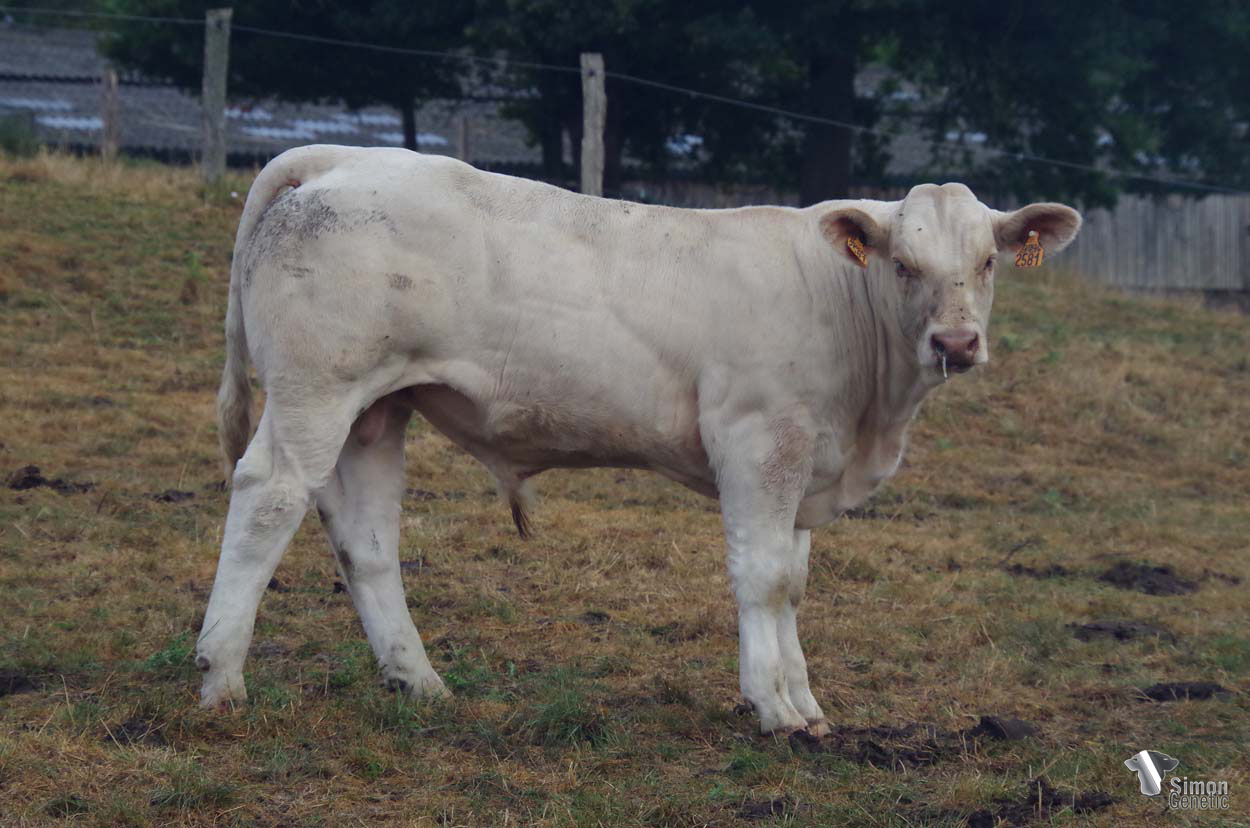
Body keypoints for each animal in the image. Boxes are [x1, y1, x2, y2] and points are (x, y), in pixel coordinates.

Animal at [195, 144, 1081, 736]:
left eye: (989, 262)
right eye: (903, 263)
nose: (956, 343)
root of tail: (341, 157)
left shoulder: (805, 464)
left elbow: (792, 584)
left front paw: (805, 702)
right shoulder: (758, 441)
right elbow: (761, 579)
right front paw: (773, 707)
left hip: (376, 408)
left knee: (365, 537)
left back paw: (419, 681)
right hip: (317, 389)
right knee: (268, 497)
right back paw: (220, 678)